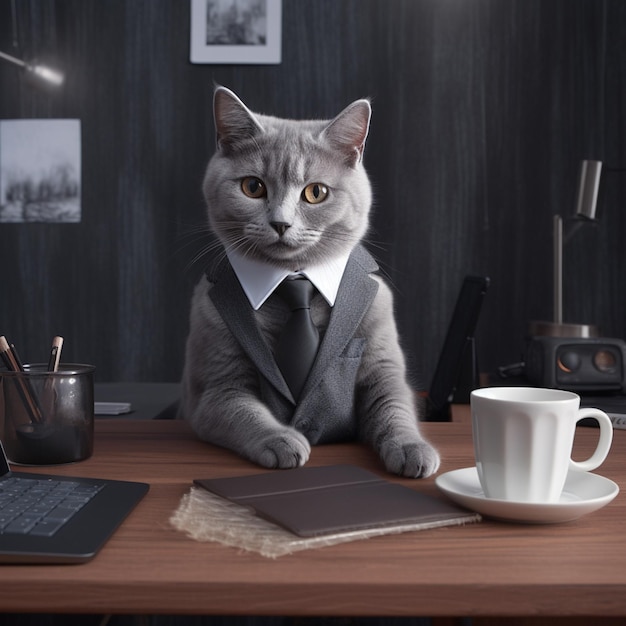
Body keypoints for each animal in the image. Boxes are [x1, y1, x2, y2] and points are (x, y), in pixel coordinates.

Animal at [177, 86, 438, 478]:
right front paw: (283, 441)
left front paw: (412, 448)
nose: (280, 223)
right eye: (252, 187)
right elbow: (244, 411)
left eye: (316, 193)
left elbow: (394, 407)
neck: (293, 277)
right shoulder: (215, 387)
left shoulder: (383, 365)